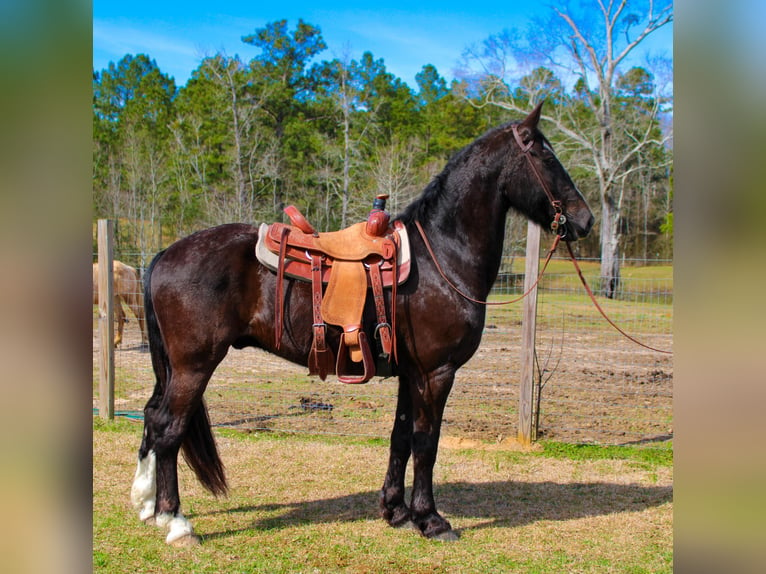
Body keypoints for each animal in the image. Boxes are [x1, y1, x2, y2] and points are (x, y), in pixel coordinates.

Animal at [134, 103, 600, 548]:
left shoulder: (411, 374)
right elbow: (426, 443)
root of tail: (164, 255)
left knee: (152, 417)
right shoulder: (437, 373)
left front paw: (396, 511)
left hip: (174, 369)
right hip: (194, 366)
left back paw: (146, 503)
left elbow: (400, 437)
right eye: (545, 155)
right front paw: (431, 520)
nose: (585, 220)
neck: (442, 256)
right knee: (168, 428)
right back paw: (175, 522)